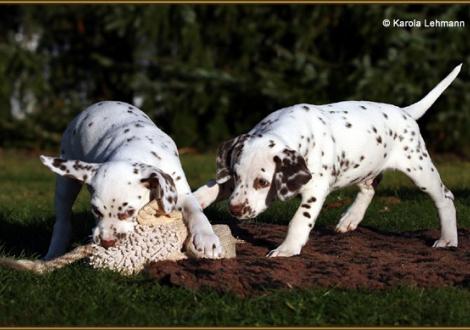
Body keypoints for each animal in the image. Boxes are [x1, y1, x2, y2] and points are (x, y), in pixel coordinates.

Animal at [41, 100, 223, 260]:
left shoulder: (182, 192)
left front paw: (207, 239)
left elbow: (196, 212)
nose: (107, 242)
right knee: (62, 220)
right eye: (96, 211)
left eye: (128, 212)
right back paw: (54, 252)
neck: (137, 150)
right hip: (66, 182)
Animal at [196, 63, 462, 256]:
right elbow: (210, 188)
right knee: (370, 188)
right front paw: (194, 201)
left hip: (419, 168)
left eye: (262, 183)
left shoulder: (315, 190)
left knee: (445, 198)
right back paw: (350, 218)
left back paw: (448, 239)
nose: (235, 209)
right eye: (236, 176)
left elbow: (299, 220)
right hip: (367, 167)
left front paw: (287, 249)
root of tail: (405, 112)